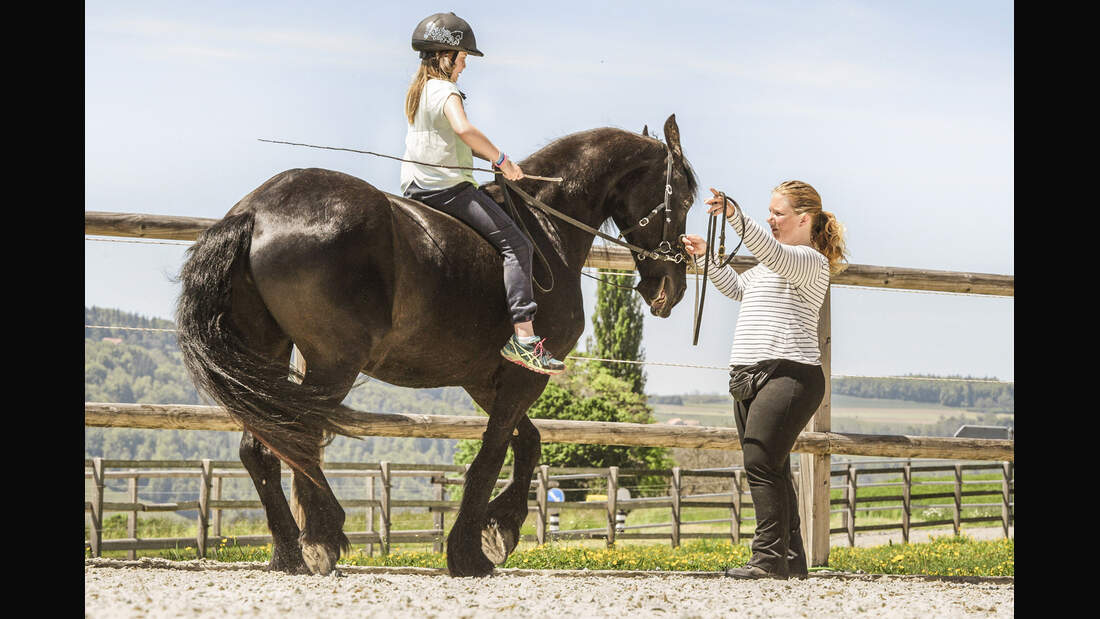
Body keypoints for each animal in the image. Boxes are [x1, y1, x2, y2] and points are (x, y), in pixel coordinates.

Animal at [177, 112, 699, 576]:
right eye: (683, 197)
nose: (670, 289)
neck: (545, 230)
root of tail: (256, 211)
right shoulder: (524, 374)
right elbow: (492, 455)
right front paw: (471, 551)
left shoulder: (485, 379)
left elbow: (528, 441)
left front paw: (499, 530)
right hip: (332, 363)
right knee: (297, 439)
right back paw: (323, 537)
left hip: (268, 354)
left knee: (263, 446)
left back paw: (289, 553)